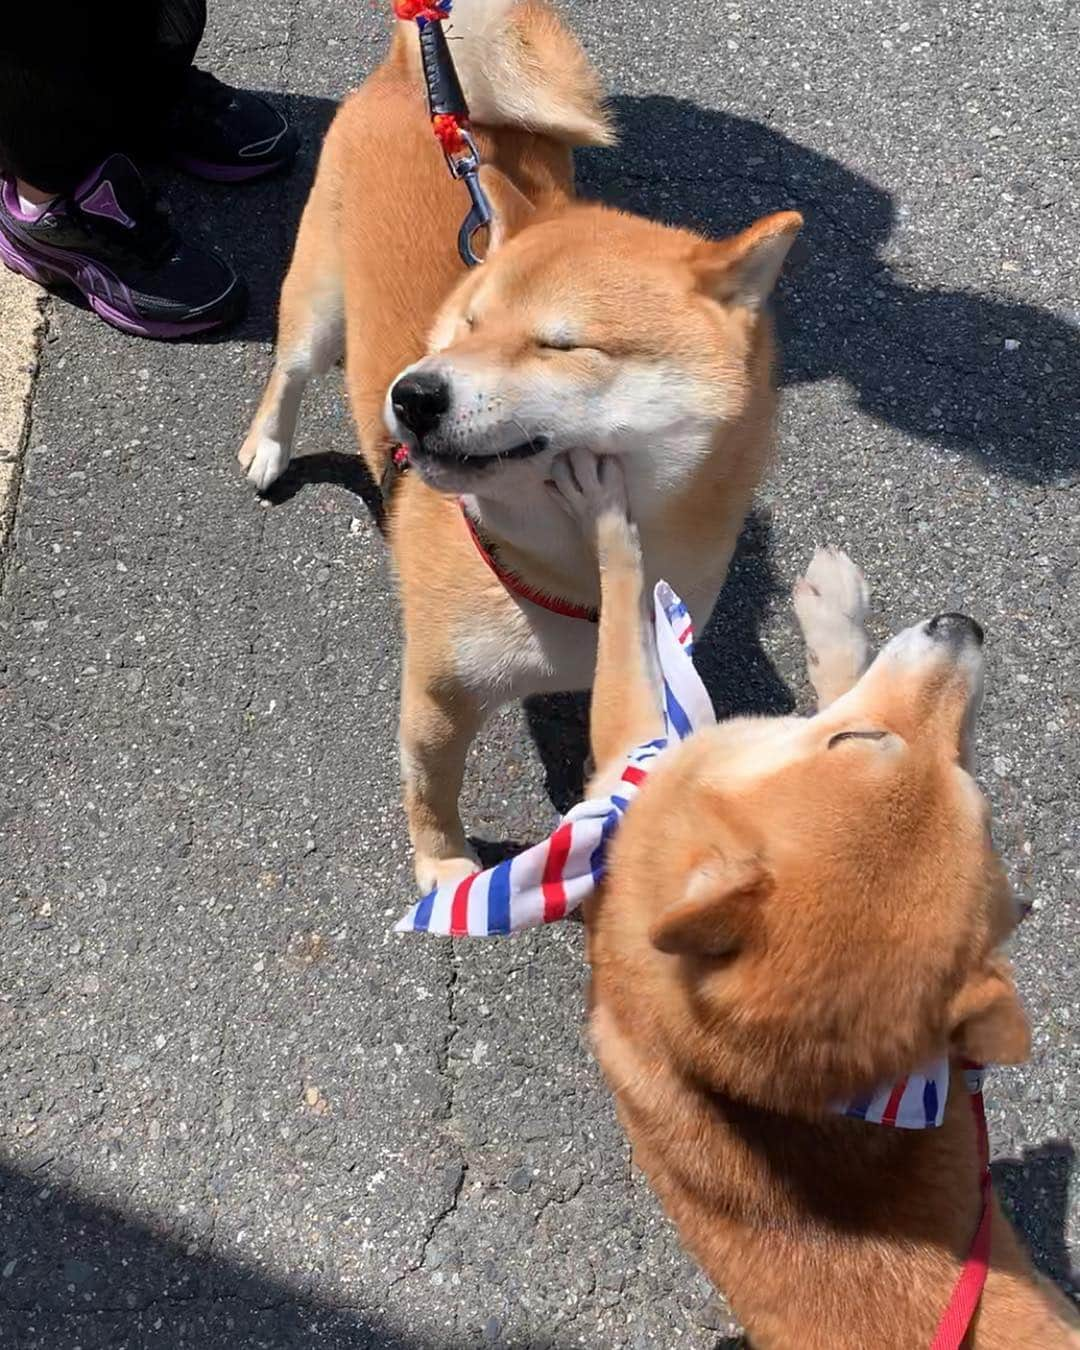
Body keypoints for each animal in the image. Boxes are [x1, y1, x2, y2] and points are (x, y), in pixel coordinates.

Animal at [243, 2, 799, 896]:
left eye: (558, 345)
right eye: (467, 325)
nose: (411, 393)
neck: (569, 577)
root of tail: (414, 81)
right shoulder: (438, 692)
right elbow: (431, 790)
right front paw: (443, 868)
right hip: (317, 305)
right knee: (287, 373)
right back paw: (266, 446)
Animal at [548, 456, 1080, 1350]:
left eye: (975, 792)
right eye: (856, 741)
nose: (966, 626)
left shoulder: (634, 753)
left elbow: (624, 595)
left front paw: (605, 510)